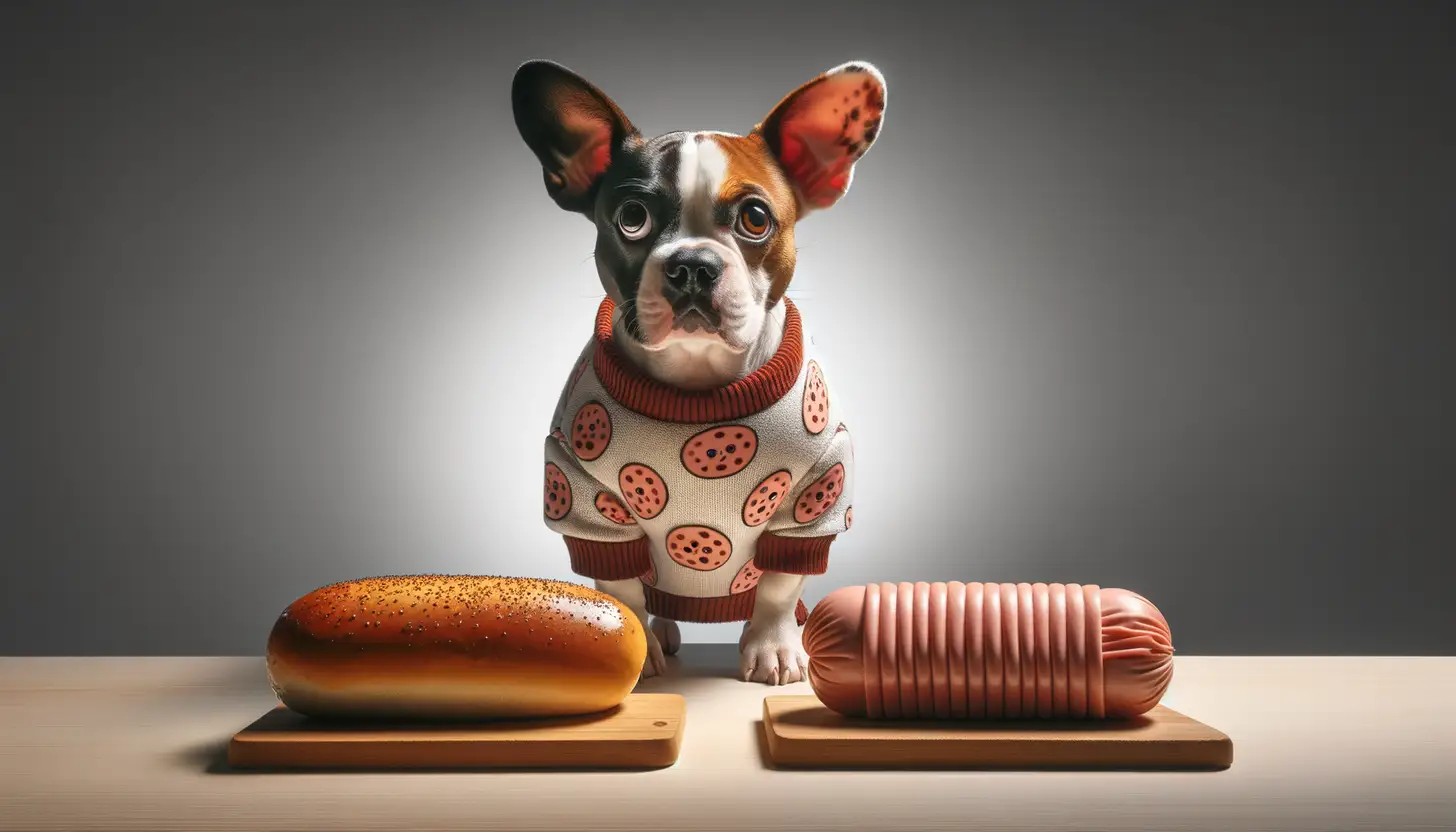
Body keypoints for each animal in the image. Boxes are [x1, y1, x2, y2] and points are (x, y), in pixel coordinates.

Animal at [521, 56, 885, 684]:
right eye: (632, 218)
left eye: (756, 218)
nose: (692, 263)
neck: (697, 383)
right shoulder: (586, 499)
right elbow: (619, 583)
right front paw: (638, 647)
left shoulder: (812, 497)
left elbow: (779, 588)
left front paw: (774, 648)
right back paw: (664, 631)